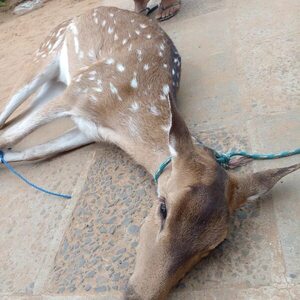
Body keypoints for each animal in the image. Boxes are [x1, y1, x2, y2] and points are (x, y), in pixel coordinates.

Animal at [0, 4, 300, 300]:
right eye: (163, 208)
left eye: (216, 244)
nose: (138, 294)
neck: (121, 119)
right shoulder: (79, 92)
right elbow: (10, 135)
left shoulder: (87, 130)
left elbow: (34, 150)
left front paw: (10, 159)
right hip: (47, 54)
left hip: (55, 82)